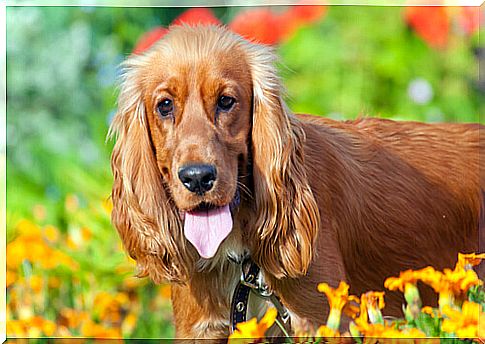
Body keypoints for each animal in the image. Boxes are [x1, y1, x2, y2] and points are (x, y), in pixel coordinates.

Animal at [108, 24, 484, 338]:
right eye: (164, 105)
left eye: (226, 101)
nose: (197, 178)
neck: (240, 253)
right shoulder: (201, 328)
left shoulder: (323, 319)